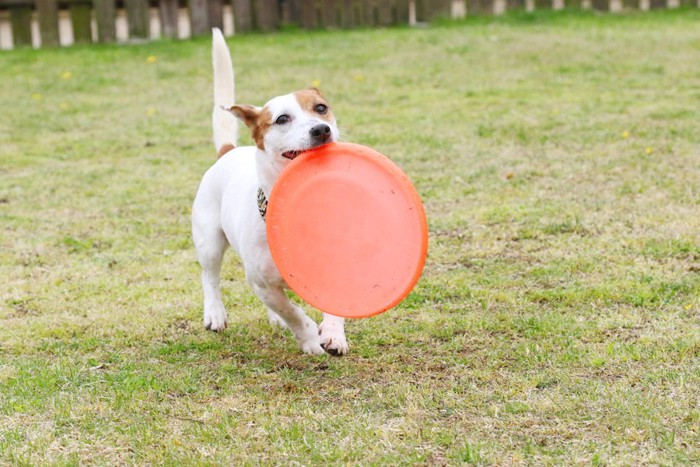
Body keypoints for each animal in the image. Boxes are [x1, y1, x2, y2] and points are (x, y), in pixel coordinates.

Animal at [191, 29, 348, 356]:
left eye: (321, 108)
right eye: (282, 119)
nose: (321, 129)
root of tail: (229, 151)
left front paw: (333, 334)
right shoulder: (261, 282)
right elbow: (294, 313)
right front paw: (311, 340)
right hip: (208, 239)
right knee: (209, 275)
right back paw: (215, 313)